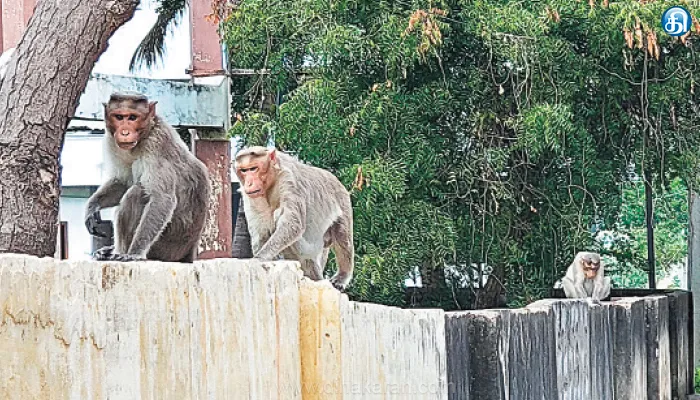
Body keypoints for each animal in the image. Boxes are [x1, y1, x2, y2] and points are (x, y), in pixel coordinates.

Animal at [83, 92, 209, 264]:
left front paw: (135, 253)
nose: (124, 132)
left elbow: (162, 199)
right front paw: (92, 207)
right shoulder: (112, 142)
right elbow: (123, 182)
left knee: (137, 192)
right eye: (119, 117)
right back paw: (110, 252)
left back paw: (121, 252)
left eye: (132, 117)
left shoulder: (156, 145)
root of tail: (188, 254)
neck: (143, 137)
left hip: (167, 247)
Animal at [235, 147, 356, 290]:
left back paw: (340, 276)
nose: (249, 183)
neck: (272, 182)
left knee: (342, 235)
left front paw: (260, 257)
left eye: (253, 168)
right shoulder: (250, 196)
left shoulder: (289, 180)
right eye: (244, 170)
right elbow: (260, 231)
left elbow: (293, 224)